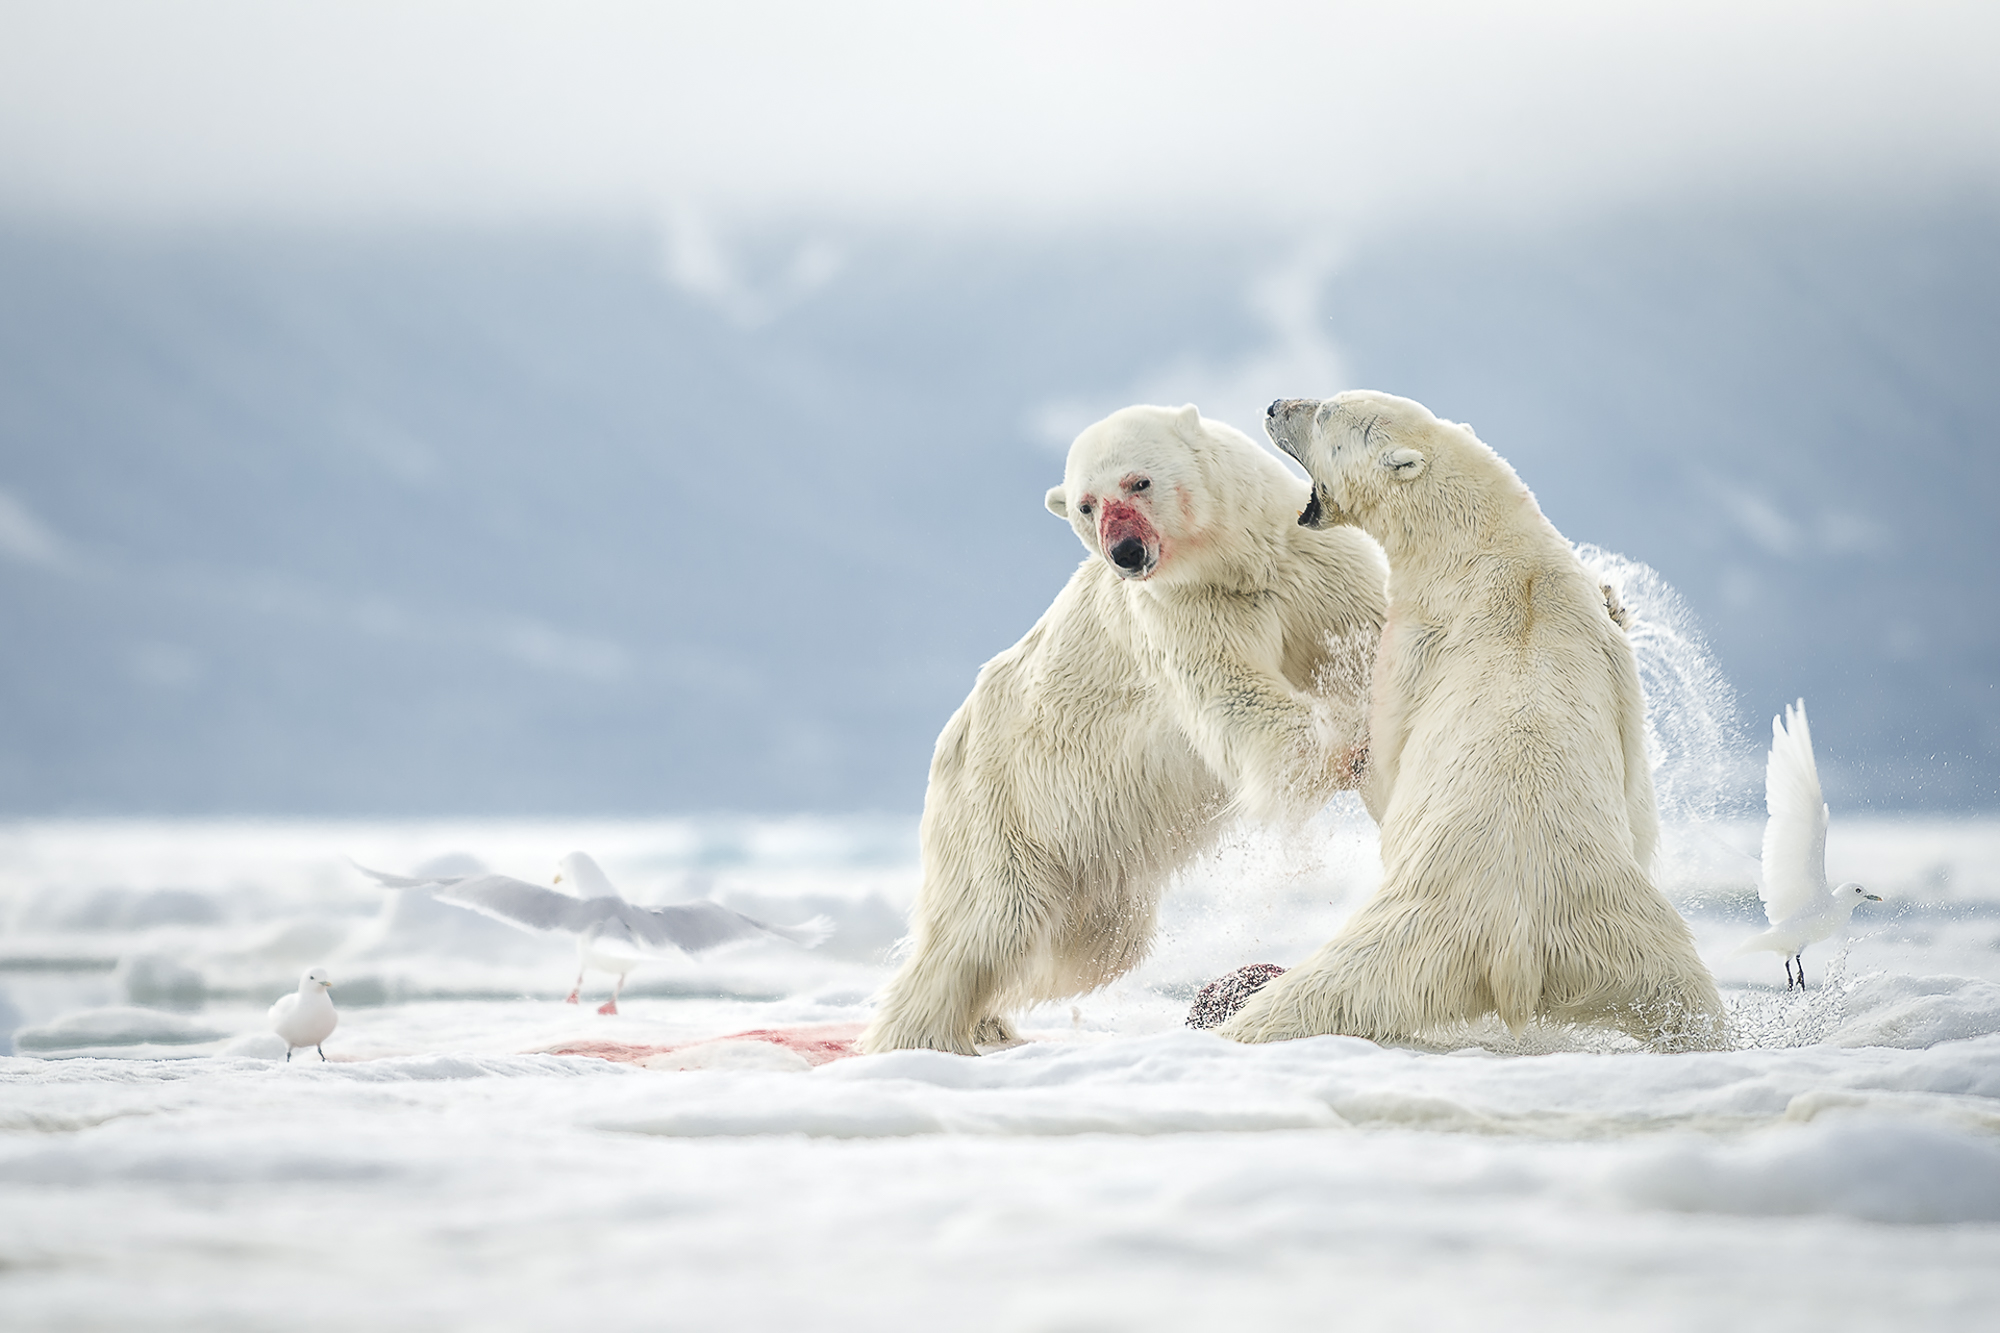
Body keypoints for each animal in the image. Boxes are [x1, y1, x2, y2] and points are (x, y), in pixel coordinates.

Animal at [860, 400, 1392, 1056]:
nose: (1126, 552)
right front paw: (1339, 747)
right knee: (987, 924)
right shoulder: (1180, 613)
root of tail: (949, 741)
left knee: (1091, 942)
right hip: (1005, 806)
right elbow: (1235, 693)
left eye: (1139, 482)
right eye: (1086, 505)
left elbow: (1372, 632)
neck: (1242, 566)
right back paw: (920, 1035)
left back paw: (988, 1020)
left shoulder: (1312, 569)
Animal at [1224, 390, 1728, 1040]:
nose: (1274, 405)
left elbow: (1392, 758)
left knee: (1315, 994)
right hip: (1622, 944)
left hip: (1424, 932)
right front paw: (1616, 598)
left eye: (1326, 413)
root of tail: (1514, 941)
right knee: (1684, 1002)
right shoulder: (1610, 661)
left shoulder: (1417, 642)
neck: (1497, 550)